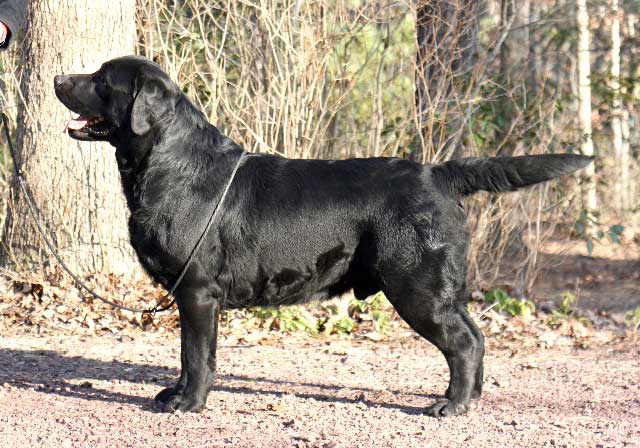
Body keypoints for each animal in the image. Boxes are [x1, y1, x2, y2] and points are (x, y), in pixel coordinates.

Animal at [54, 56, 593, 417]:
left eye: (101, 80)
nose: (57, 77)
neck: (173, 165)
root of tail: (436, 173)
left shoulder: (197, 291)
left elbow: (195, 355)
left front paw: (188, 403)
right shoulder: (194, 297)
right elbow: (190, 356)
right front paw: (176, 392)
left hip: (416, 287)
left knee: (464, 342)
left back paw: (452, 406)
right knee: (474, 337)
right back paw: (465, 398)